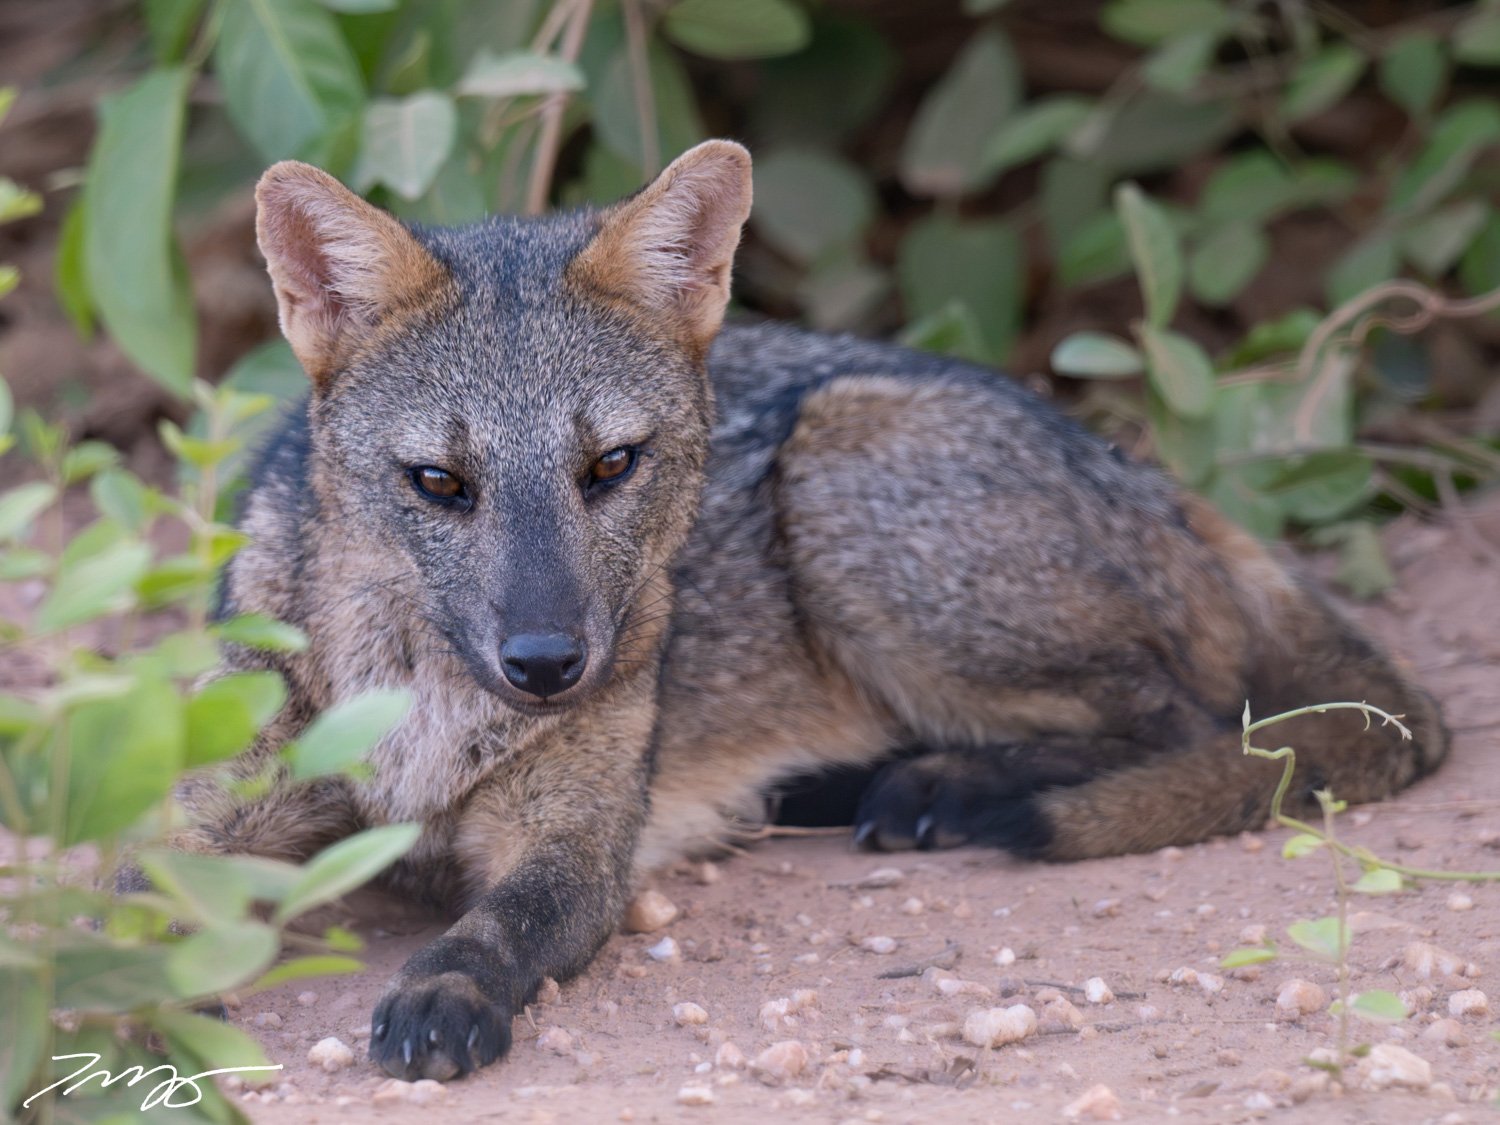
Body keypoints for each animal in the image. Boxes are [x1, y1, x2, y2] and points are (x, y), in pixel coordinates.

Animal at [152, 139, 1445, 1082]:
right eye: (439, 484)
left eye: (610, 467)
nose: (549, 664)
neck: (418, 710)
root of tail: (1147, 470)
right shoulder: (213, 808)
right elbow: (131, 899)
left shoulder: (575, 846)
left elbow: (497, 926)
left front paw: (441, 990)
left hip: (835, 477)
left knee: (1192, 721)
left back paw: (942, 786)